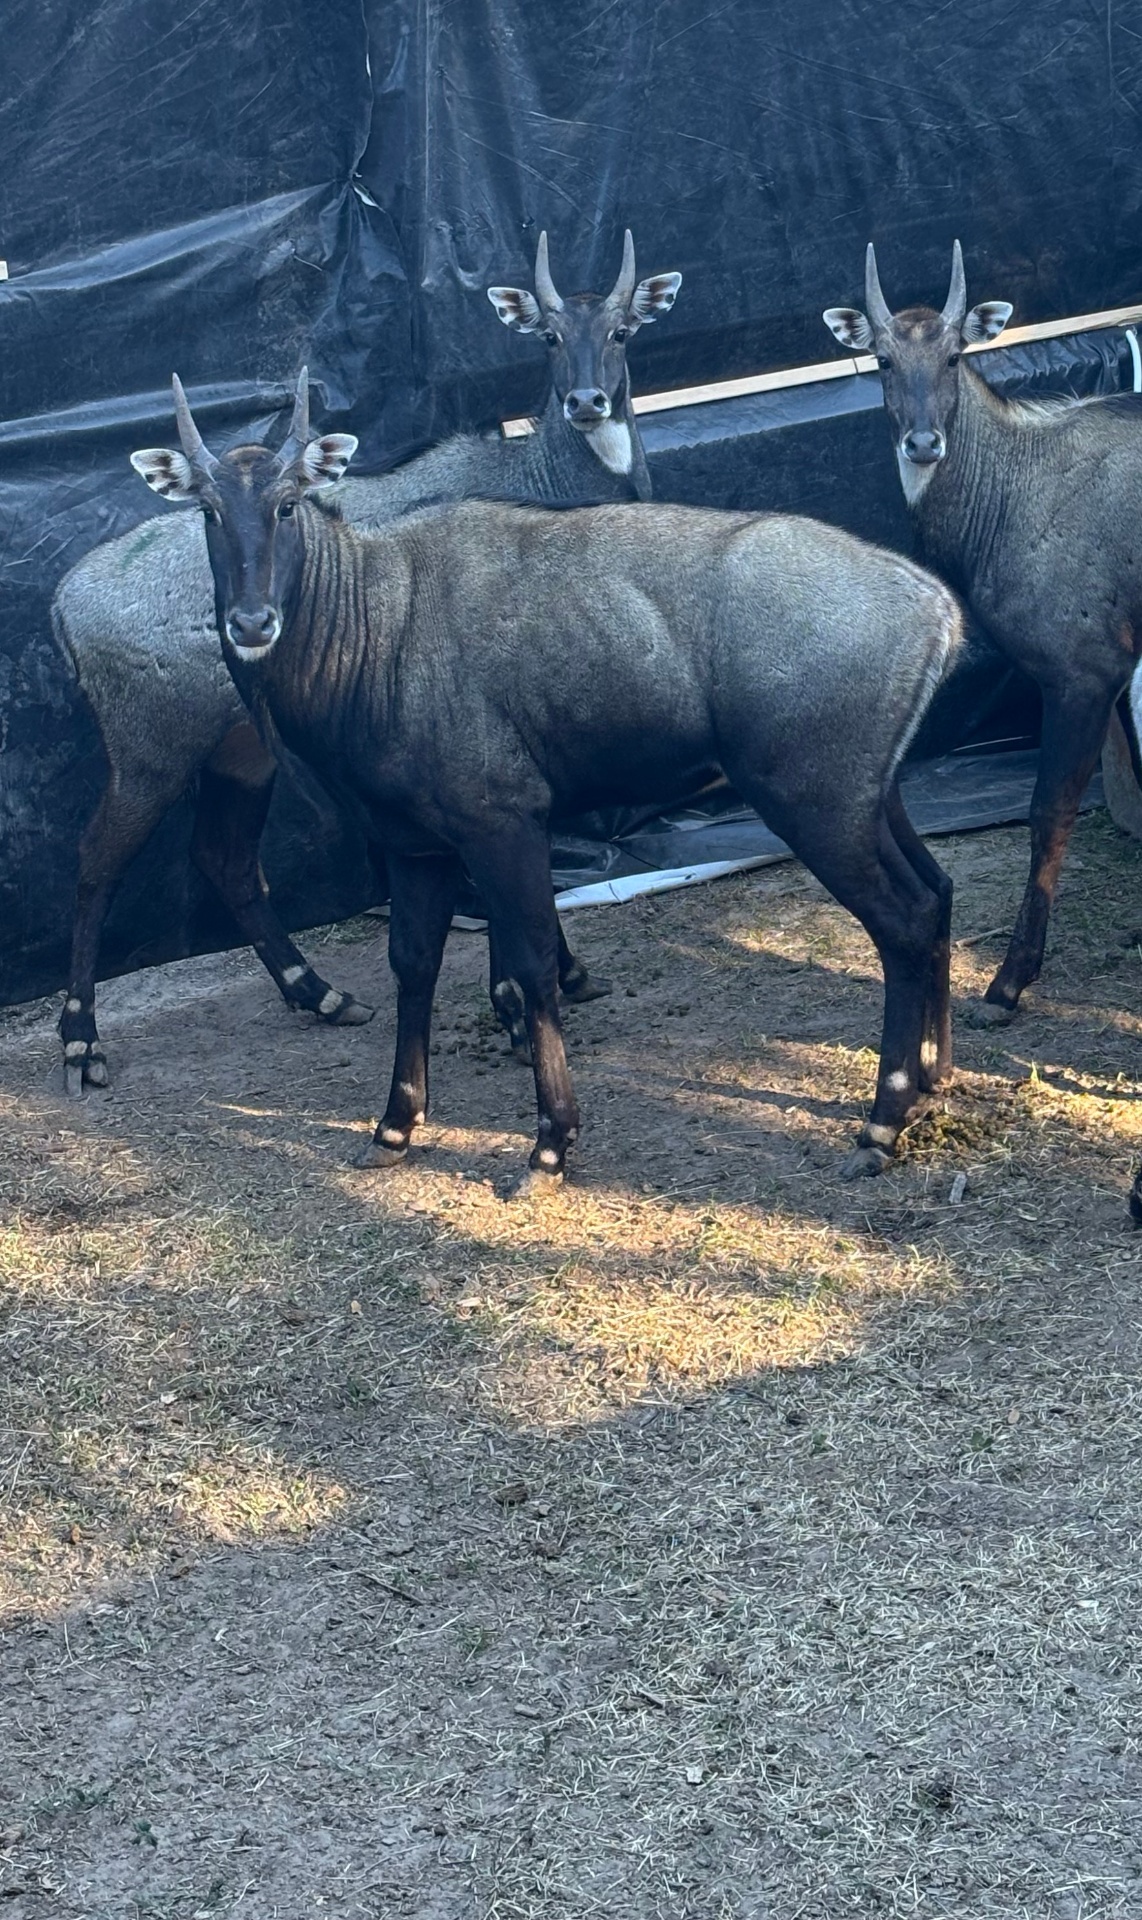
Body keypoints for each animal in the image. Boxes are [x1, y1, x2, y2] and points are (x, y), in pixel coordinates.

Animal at [53, 230, 681, 1094]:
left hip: (241, 749)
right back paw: (82, 1044)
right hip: (149, 755)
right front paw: (520, 1005)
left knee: (225, 859)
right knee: (94, 866)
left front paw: (554, 980)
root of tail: (62, 601)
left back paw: (318, 994)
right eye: (550, 337)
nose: (587, 402)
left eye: (622, 331)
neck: (534, 477)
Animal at [128, 370, 963, 1193]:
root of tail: (937, 609)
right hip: (871, 799)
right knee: (935, 893)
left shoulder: (503, 822)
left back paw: (881, 1124)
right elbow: (413, 965)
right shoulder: (415, 847)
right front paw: (394, 1127)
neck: (373, 625)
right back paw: (933, 1081)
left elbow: (531, 966)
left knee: (900, 921)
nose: (251, 622)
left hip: (815, 804)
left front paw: (550, 1146)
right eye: (207, 510)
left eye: (289, 502)